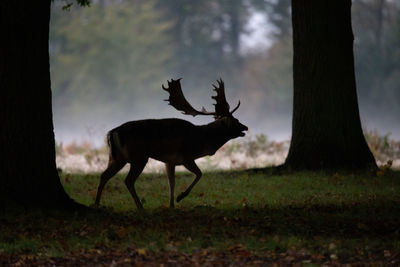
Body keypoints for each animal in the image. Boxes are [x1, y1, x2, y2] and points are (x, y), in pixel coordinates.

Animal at [95, 78, 248, 210]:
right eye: (235, 121)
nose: (246, 127)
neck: (202, 140)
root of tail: (112, 132)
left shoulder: (170, 161)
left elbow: (171, 182)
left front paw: (171, 205)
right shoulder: (186, 156)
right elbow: (199, 174)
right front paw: (181, 197)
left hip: (117, 158)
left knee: (104, 175)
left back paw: (96, 204)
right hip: (139, 156)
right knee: (128, 180)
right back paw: (140, 207)